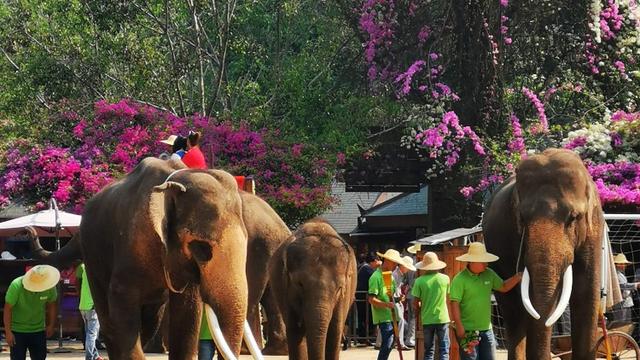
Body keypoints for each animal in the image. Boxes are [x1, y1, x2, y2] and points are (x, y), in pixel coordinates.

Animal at [30, 158, 288, 360]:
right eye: (201, 248)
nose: (30, 231)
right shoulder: (129, 246)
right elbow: (122, 307)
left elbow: (187, 313)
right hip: (94, 256)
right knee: (111, 316)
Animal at [268, 218, 358, 358]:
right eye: (299, 284)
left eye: (339, 288)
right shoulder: (286, 290)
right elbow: (295, 332)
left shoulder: (344, 295)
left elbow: (334, 334)